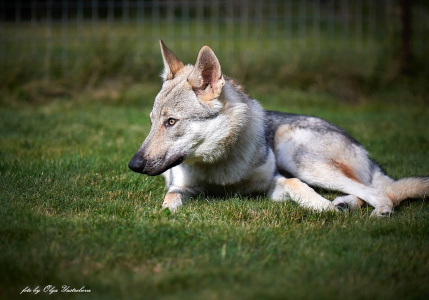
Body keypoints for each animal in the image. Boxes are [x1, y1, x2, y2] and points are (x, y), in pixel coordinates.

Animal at [128, 41, 428, 217]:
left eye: (171, 122)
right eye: (152, 121)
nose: (133, 164)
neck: (219, 170)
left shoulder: (275, 182)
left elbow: (298, 186)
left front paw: (324, 208)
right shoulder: (179, 187)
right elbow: (170, 201)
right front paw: (167, 214)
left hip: (296, 155)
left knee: (383, 193)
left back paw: (371, 211)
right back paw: (345, 204)